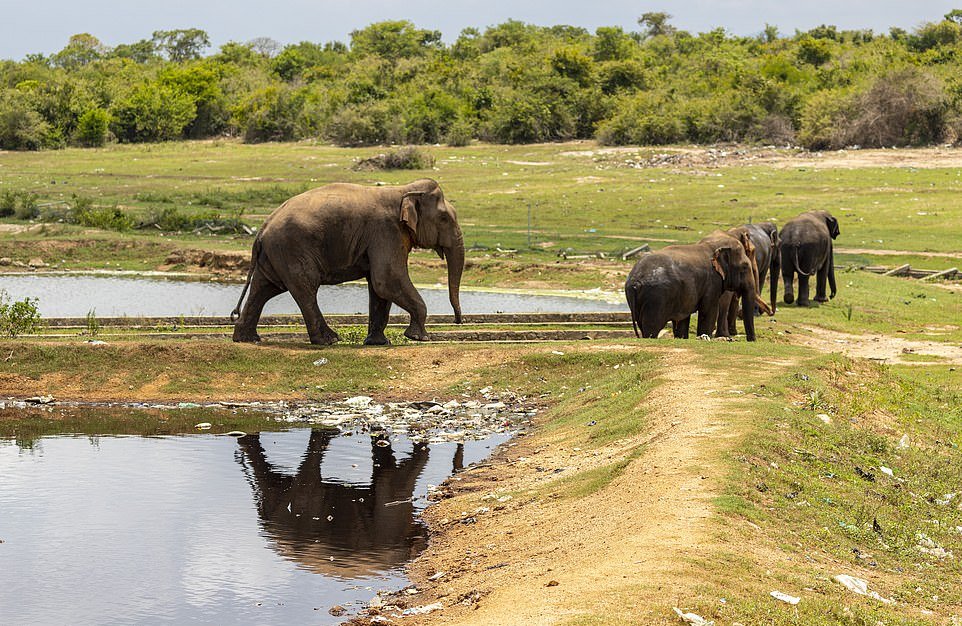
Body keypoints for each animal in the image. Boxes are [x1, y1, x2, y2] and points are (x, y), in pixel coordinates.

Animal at [229, 179, 462, 346]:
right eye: (444, 219)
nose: (457, 321)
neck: (403, 190)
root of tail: (261, 229)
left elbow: (379, 287)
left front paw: (378, 343)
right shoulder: (386, 232)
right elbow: (387, 280)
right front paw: (419, 337)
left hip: (275, 255)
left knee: (264, 288)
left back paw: (247, 339)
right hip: (291, 250)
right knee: (305, 288)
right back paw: (329, 340)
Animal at [624, 230, 772, 342]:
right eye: (744, 267)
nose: (751, 340)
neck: (713, 246)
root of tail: (635, 282)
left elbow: (684, 318)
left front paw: (682, 338)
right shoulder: (712, 281)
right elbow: (709, 311)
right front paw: (704, 336)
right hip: (655, 299)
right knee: (652, 328)